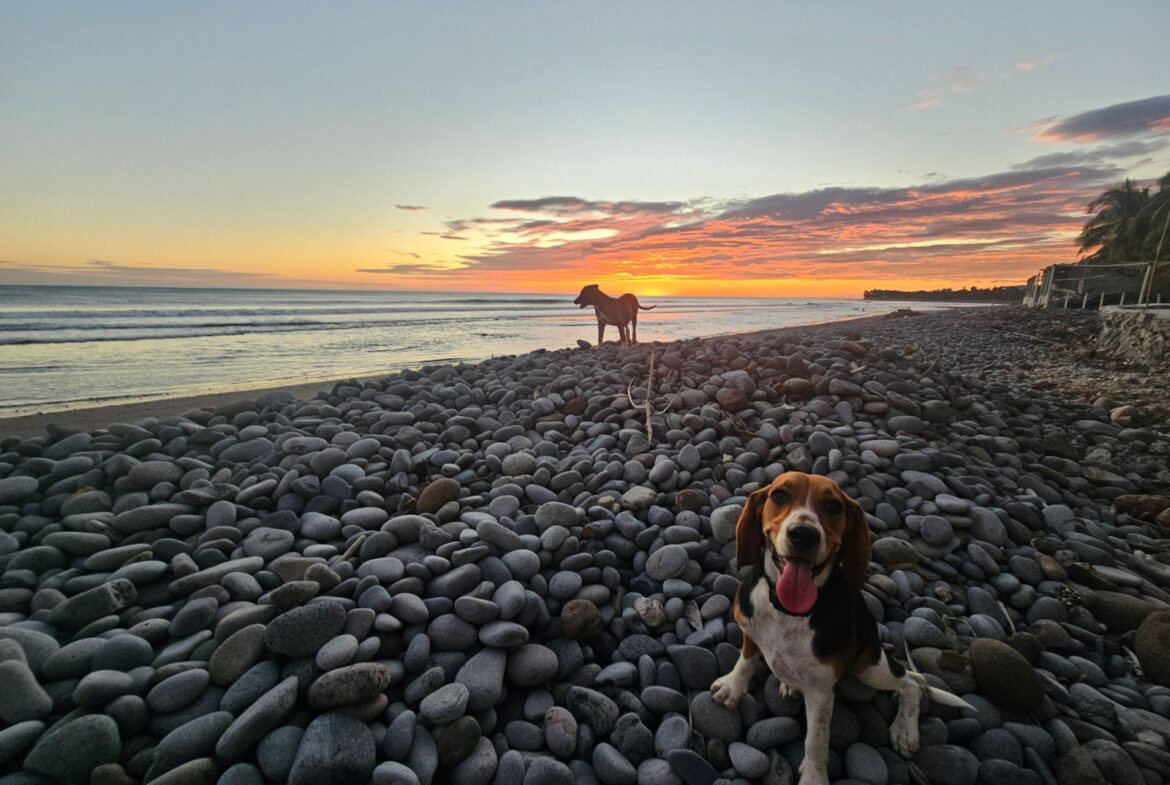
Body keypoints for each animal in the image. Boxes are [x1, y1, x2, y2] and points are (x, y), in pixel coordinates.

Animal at [711, 472, 968, 785]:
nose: (804, 534)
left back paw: (905, 732)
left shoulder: (823, 693)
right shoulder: (751, 631)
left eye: (833, 506)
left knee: (913, 682)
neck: (788, 611)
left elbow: (816, 740)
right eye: (780, 495)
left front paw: (813, 777)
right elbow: (746, 660)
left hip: (869, 666)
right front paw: (733, 687)